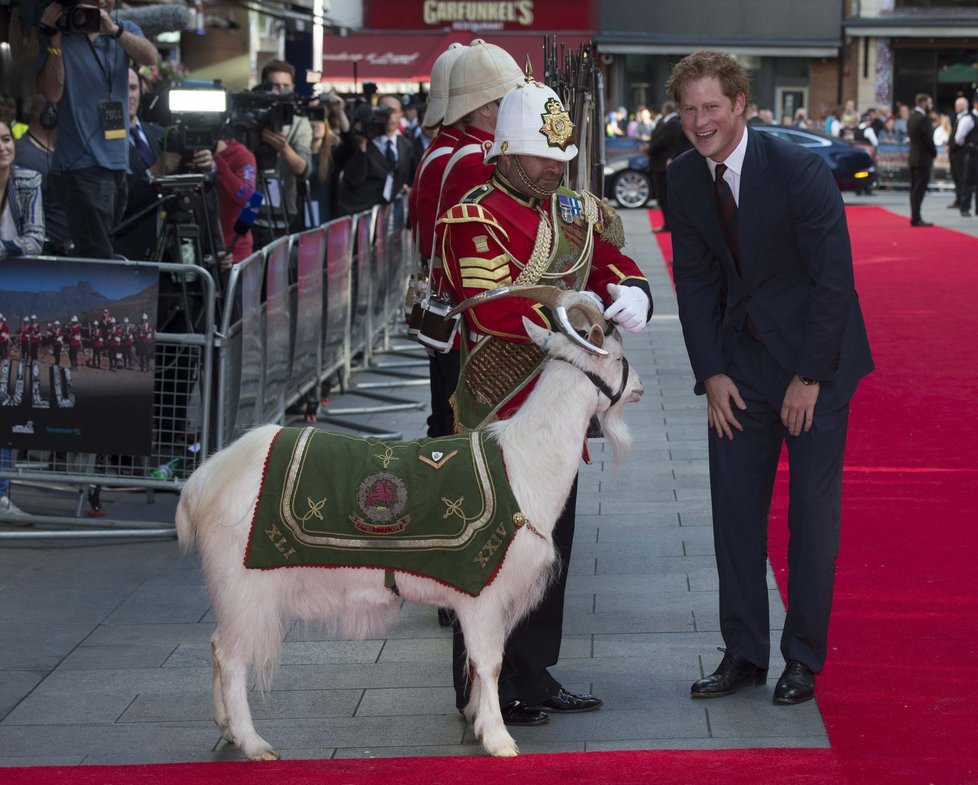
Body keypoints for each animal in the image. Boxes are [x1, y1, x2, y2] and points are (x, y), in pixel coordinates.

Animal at [175, 288, 644, 760]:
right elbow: (489, 661)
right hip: (241, 581)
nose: (640, 387)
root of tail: (203, 481)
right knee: (232, 655)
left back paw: (227, 728)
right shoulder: (483, 588)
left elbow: (476, 661)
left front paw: (476, 717)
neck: (521, 463)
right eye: (621, 355)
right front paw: (499, 739)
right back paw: (254, 743)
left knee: (216, 645)